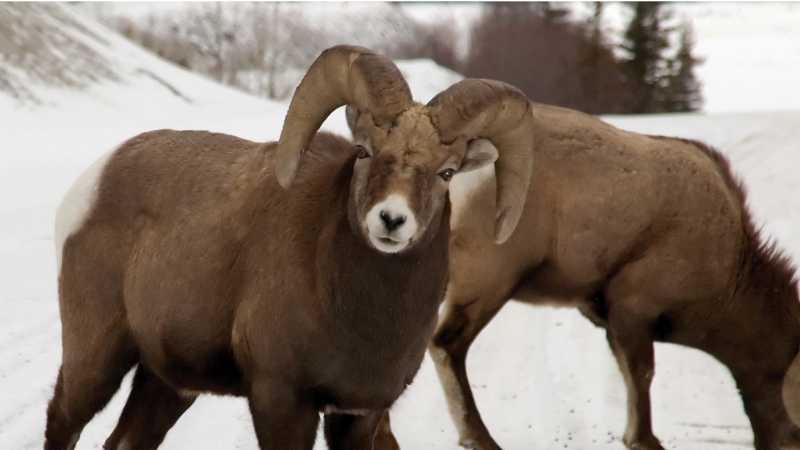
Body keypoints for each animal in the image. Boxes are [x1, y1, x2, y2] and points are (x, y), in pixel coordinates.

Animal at [44, 45, 538, 450]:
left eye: (447, 172)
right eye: (364, 151)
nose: (391, 220)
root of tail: (94, 180)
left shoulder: (360, 415)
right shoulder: (281, 400)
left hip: (168, 383)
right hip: (97, 356)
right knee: (63, 421)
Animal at [373, 105, 800, 450]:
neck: (731, 280)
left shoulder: (608, 317)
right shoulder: (634, 307)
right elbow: (642, 375)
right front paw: (644, 440)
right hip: (488, 280)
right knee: (446, 345)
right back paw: (480, 439)